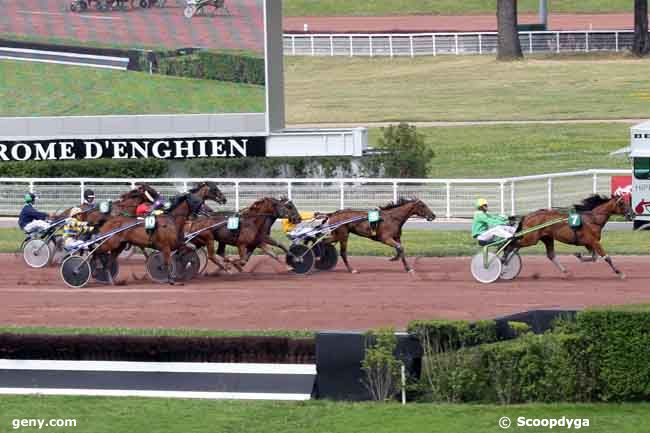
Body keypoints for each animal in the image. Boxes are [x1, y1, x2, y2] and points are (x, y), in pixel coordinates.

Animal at [95, 181, 227, 282]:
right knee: (96, 252)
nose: (224, 199)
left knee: (109, 260)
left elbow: (186, 253)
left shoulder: (179, 243)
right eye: (214, 189)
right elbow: (166, 261)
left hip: (119, 245)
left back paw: (111, 280)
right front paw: (170, 278)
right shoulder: (166, 246)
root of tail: (109, 220)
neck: (172, 220)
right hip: (110, 243)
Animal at [504, 194, 632, 278]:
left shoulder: (588, 243)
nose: (631, 214)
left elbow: (594, 257)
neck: (592, 220)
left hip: (546, 238)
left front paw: (578, 255)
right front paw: (620, 273)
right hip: (531, 239)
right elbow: (606, 257)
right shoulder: (594, 242)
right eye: (621, 203)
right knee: (512, 244)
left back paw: (566, 271)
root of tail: (527, 216)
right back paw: (504, 262)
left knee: (550, 255)